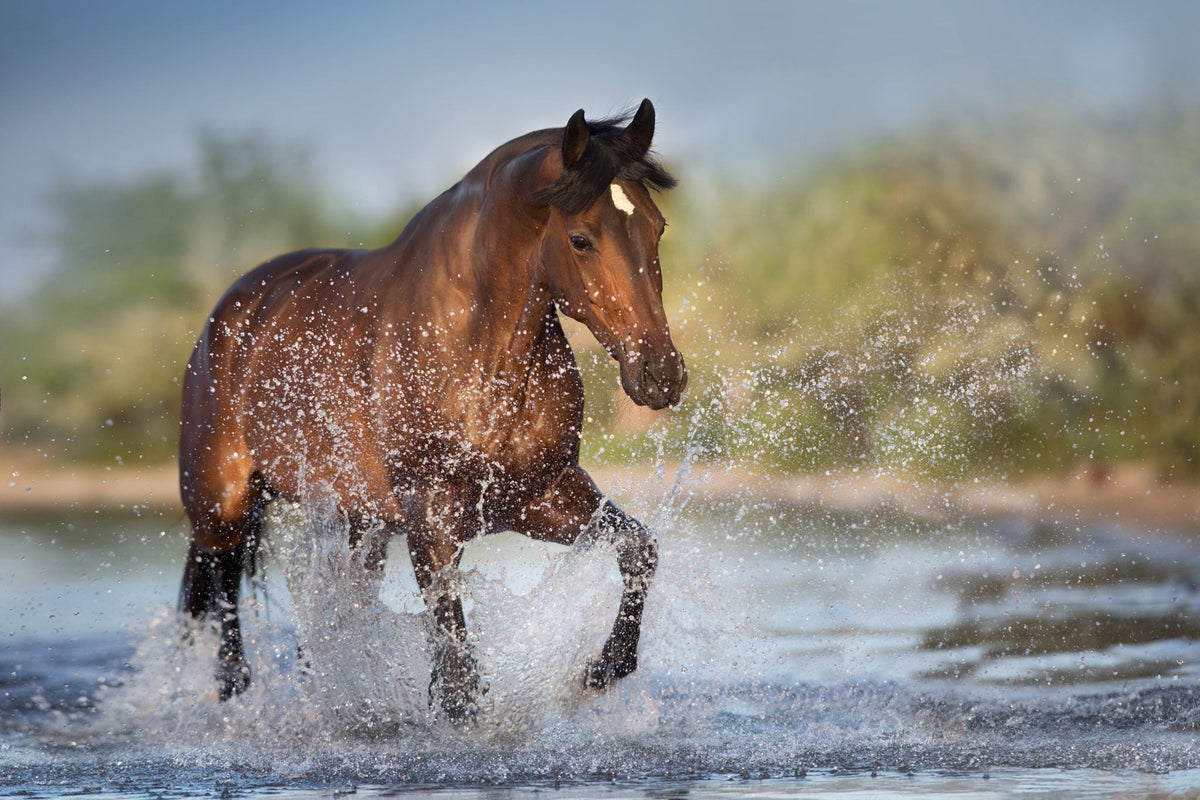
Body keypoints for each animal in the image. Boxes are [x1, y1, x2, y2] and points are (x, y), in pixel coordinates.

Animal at [178, 99, 685, 722]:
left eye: (656, 227)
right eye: (581, 239)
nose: (661, 374)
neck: (480, 354)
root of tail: (231, 313)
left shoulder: (542, 496)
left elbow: (639, 549)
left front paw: (604, 668)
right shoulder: (432, 517)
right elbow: (457, 674)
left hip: (359, 525)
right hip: (222, 509)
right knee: (225, 608)